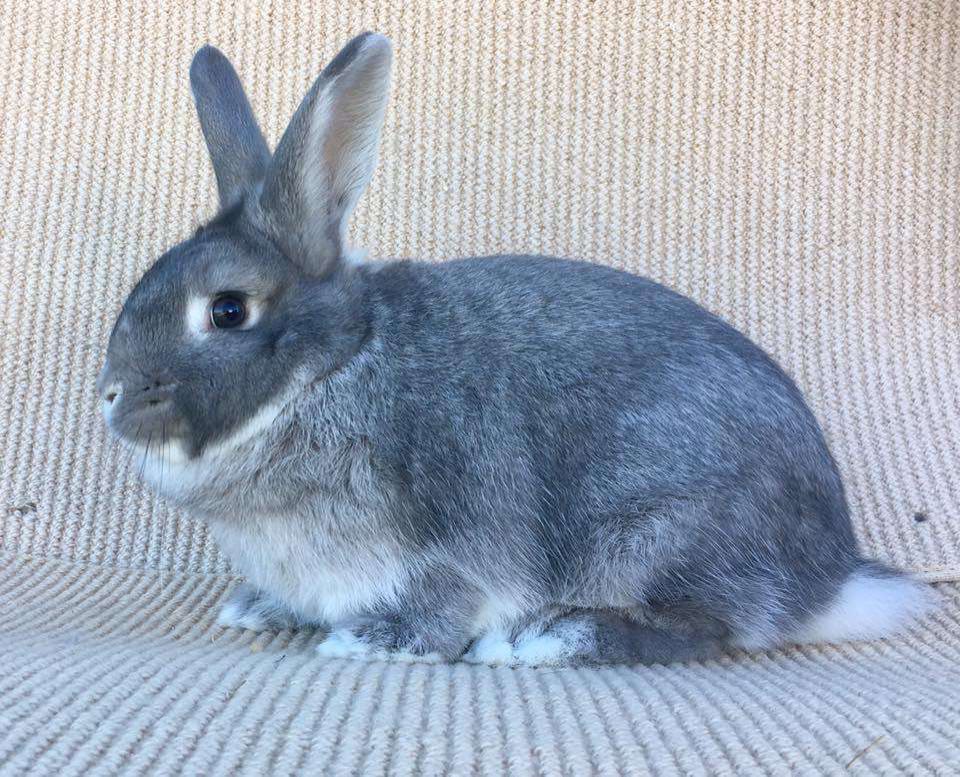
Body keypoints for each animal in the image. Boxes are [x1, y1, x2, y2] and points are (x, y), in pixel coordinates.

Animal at [98, 32, 935, 667]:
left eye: (227, 309)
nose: (110, 393)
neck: (335, 366)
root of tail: (830, 579)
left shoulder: (447, 544)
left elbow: (439, 610)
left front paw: (371, 640)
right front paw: (255, 607)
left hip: (648, 533)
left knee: (705, 626)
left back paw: (552, 638)